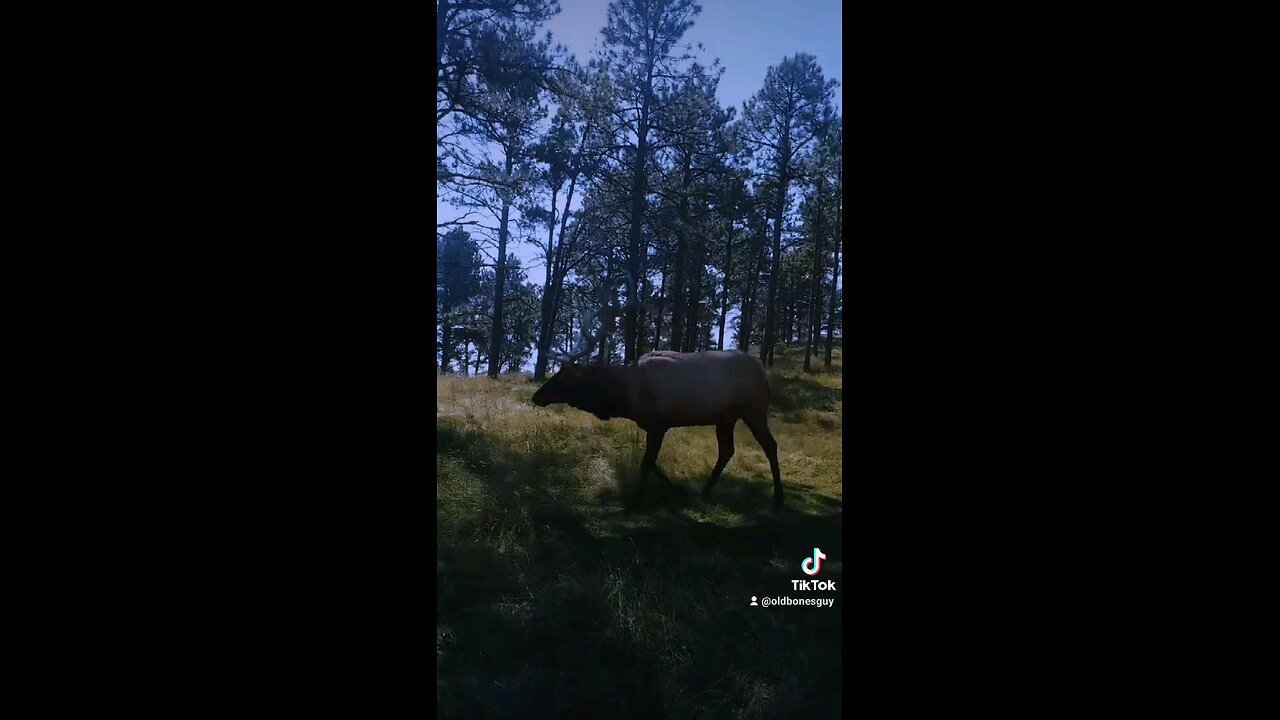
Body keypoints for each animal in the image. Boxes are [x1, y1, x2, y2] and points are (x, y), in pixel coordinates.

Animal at [527, 319, 778, 504]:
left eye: (563, 377)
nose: (536, 396)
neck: (624, 397)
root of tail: (764, 375)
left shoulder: (659, 424)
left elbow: (647, 462)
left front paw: (636, 499)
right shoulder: (652, 425)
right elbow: (651, 461)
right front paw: (677, 489)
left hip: (753, 409)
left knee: (770, 445)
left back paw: (779, 496)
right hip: (725, 417)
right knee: (727, 450)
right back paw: (705, 492)